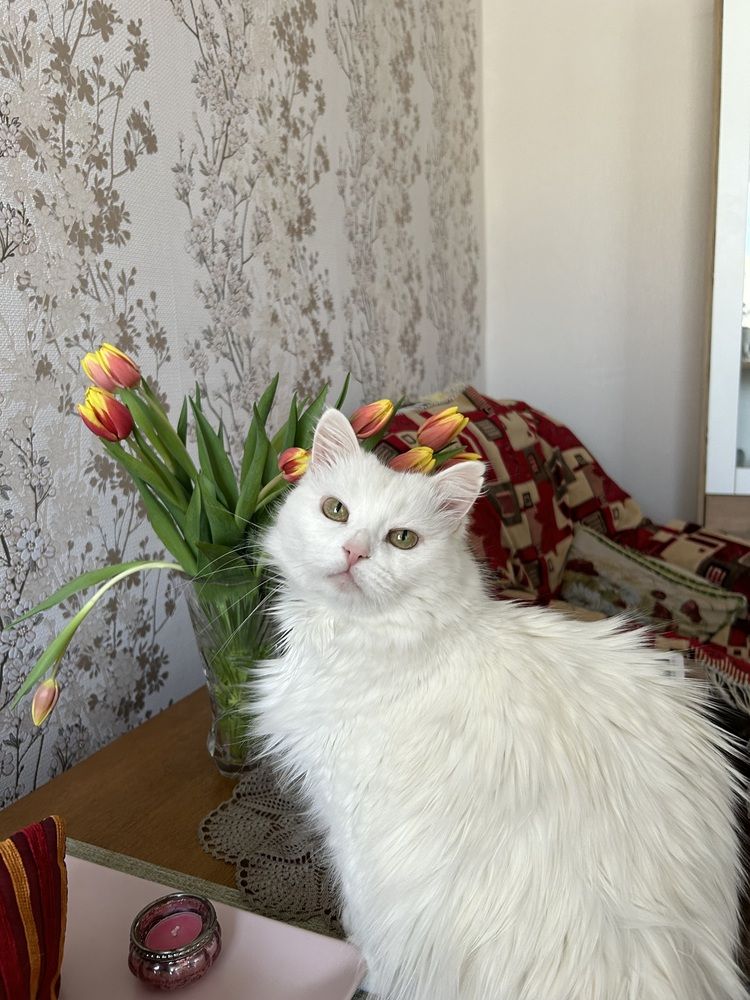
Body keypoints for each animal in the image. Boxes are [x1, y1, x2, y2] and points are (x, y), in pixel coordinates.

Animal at [254, 407, 747, 1000]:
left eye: (402, 539)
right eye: (335, 510)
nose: (354, 552)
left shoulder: (349, 821)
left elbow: (359, 919)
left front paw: (357, 965)